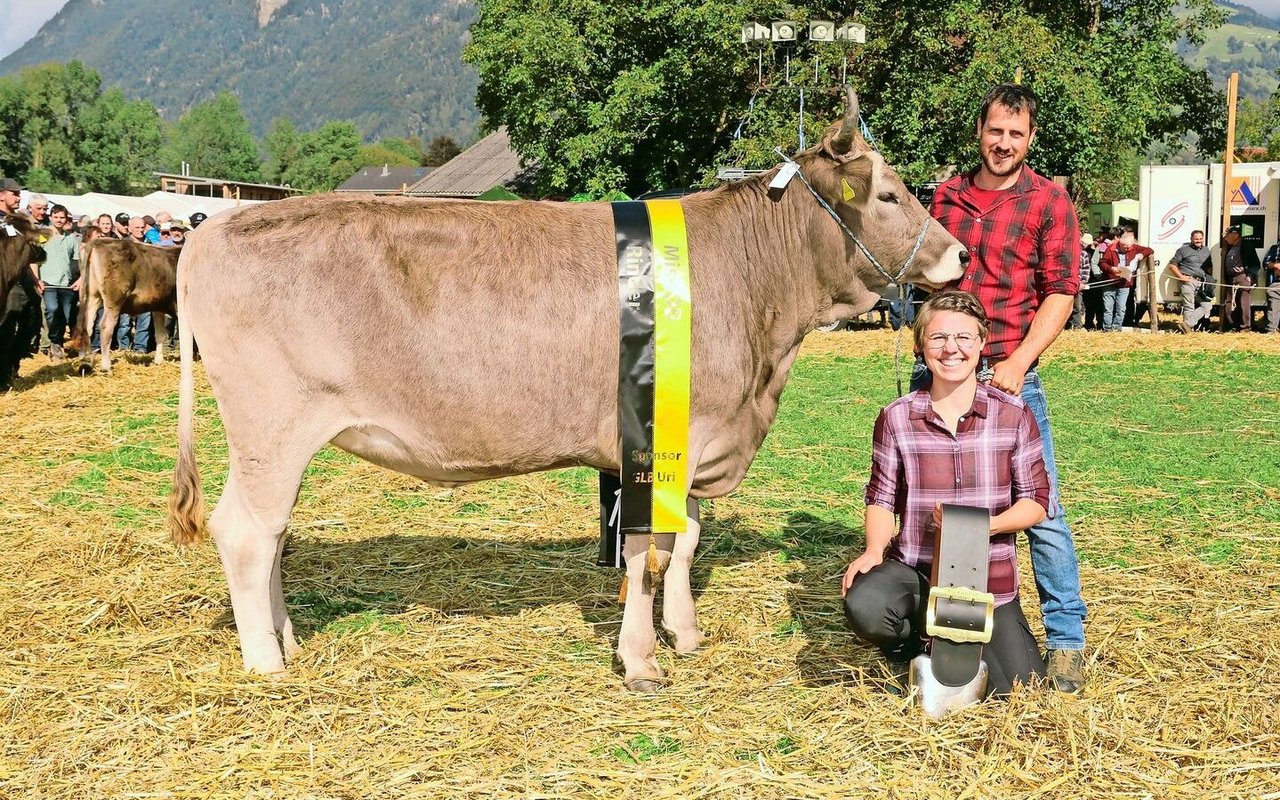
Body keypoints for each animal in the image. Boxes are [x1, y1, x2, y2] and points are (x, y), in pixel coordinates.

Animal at [71, 226, 180, 373]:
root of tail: (97, 242)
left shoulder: (157, 306)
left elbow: (160, 334)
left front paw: (159, 360)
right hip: (114, 300)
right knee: (105, 326)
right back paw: (106, 366)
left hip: (91, 296)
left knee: (87, 326)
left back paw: (86, 361)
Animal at [172, 92, 967, 691]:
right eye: (889, 192)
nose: (958, 253)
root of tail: (217, 227)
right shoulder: (660, 441)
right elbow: (647, 554)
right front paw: (641, 660)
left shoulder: (693, 441)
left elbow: (686, 542)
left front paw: (684, 634)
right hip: (270, 429)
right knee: (246, 532)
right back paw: (267, 662)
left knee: (273, 534)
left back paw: (288, 639)